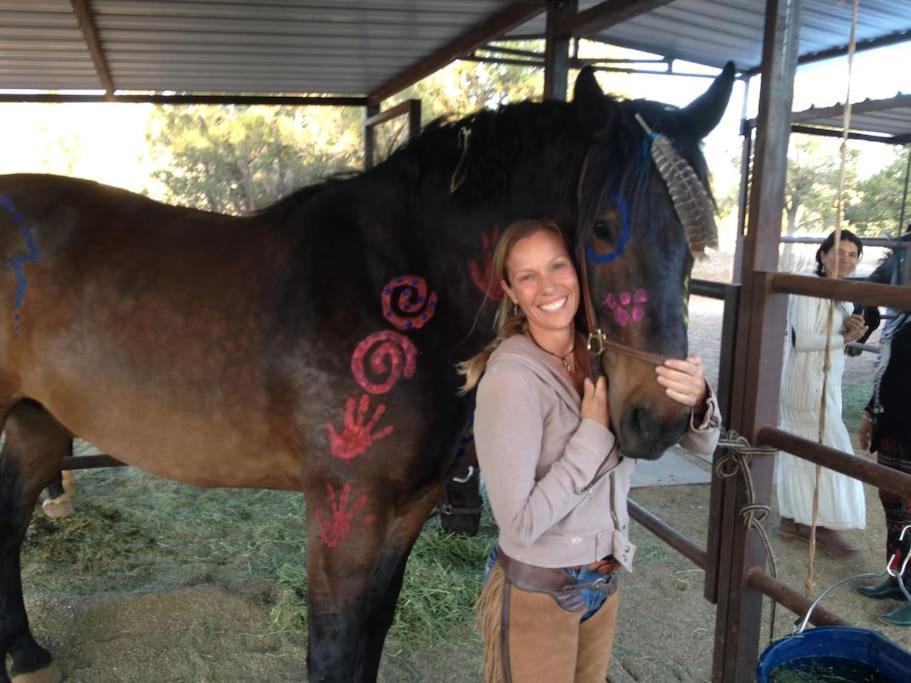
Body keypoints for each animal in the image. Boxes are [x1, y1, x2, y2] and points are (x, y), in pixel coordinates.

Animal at [0, 65, 732, 683]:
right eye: (603, 228)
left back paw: (27, 654)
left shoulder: (406, 504)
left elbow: (371, 631)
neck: (401, 280)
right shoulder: (343, 505)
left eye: (700, 242)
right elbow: (333, 644)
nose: (658, 416)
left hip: (37, 423)